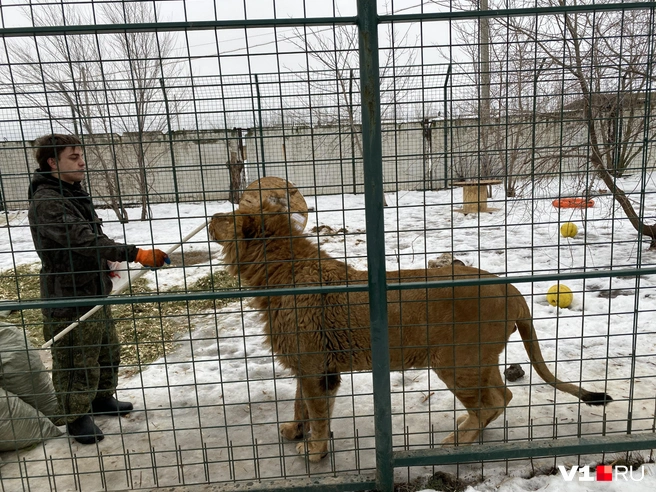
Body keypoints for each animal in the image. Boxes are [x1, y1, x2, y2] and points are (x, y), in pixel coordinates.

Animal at [208, 196, 612, 462]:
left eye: (230, 217)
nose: (211, 215)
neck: (274, 271)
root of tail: (509, 287)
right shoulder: (312, 362)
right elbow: (300, 404)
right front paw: (294, 430)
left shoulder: (314, 366)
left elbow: (317, 410)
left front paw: (315, 450)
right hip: (481, 359)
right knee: (502, 396)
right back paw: (469, 428)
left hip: (456, 362)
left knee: (492, 402)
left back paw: (456, 441)